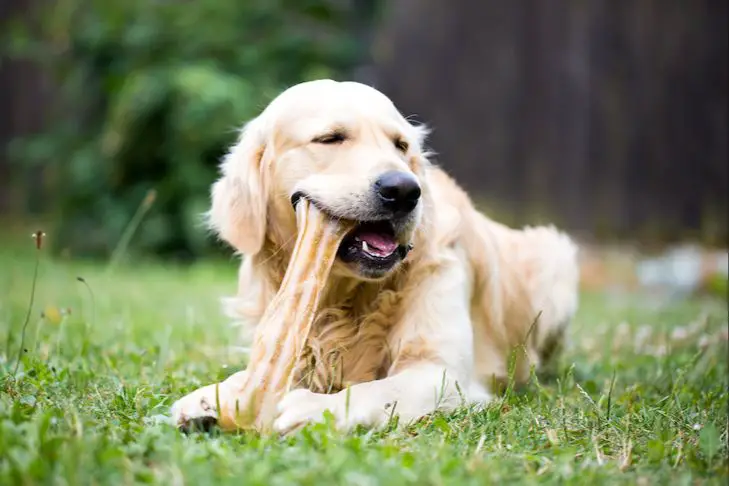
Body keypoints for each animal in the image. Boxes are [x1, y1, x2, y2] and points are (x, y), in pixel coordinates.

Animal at [168, 79, 576, 432]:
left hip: (555, 260)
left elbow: (376, 389)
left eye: (401, 145)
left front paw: (315, 407)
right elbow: (250, 373)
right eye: (330, 138)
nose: (404, 190)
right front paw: (211, 397)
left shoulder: (441, 372)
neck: (343, 296)